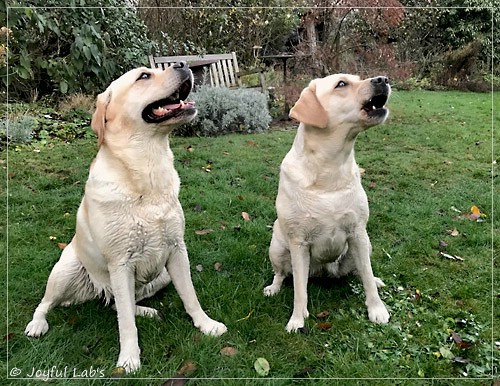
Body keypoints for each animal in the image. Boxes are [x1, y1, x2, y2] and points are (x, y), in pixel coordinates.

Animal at [24, 64, 225, 374]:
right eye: (144, 76)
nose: (182, 65)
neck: (148, 168)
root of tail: (99, 291)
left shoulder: (177, 250)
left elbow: (190, 296)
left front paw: (206, 325)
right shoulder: (120, 264)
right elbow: (126, 323)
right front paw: (129, 359)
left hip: (161, 276)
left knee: (118, 304)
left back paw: (147, 310)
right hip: (67, 269)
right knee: (49, 303)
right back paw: (37, 324)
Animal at [264, 73, 392, 332]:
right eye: (341, 84)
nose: (383, 79)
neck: (330, 168)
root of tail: (324, 271)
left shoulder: (358, 233)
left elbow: (366, 276)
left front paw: (377, 309)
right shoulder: (299, 243)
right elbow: (299, 290)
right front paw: (297, 319)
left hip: (365, 245)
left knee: (361, 271)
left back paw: (374, 279)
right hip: (277, 248)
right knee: (282, 274)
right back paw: (274, 287)